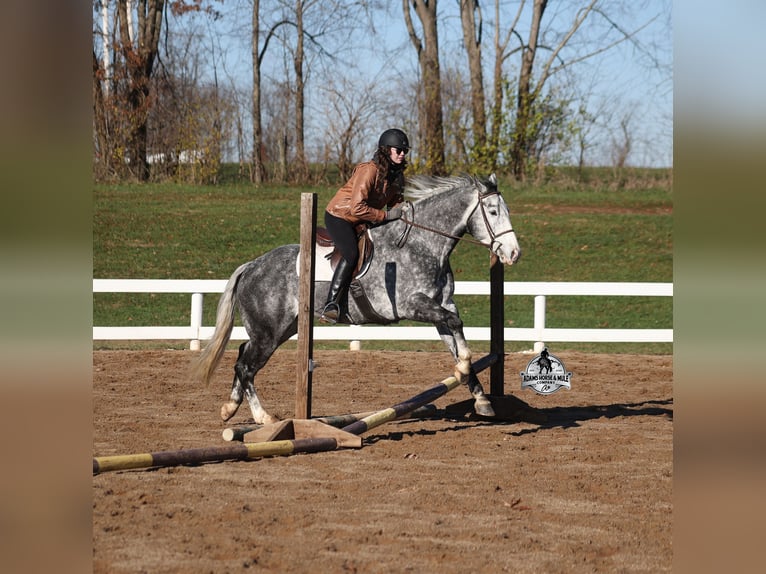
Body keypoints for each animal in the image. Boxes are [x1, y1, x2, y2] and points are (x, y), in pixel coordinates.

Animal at [193, 173, 521, 424]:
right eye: (493, 211)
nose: (513, 253)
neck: (424, 244)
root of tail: (252, 266)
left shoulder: (440, 305)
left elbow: (455, 333)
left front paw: (480, 398)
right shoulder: (412, 305)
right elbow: (456, 325)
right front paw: (465, 368)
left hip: (283, 328)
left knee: (242, 356)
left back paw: (229, 408)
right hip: (269, 332)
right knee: (247, 366)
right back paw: (264, 418)